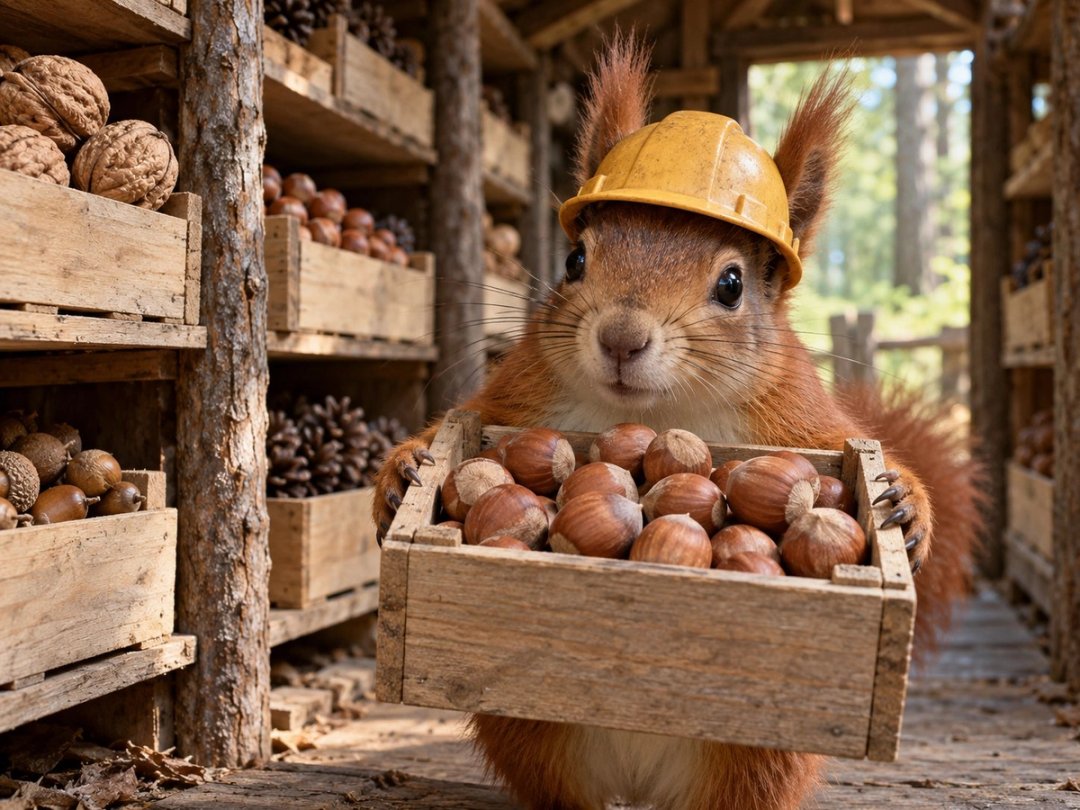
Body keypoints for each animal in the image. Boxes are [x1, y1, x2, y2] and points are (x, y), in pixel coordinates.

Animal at [373, 37, 982, 810]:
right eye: (575, 258)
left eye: (732, 284)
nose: (621, 338)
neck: (654, 410)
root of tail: (640, 781)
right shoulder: (521, 394)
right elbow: (464, 422)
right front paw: (400, 474)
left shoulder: (795, 414)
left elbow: (844, 449)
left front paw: (904, 501)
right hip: (533, 736)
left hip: (753, 762)